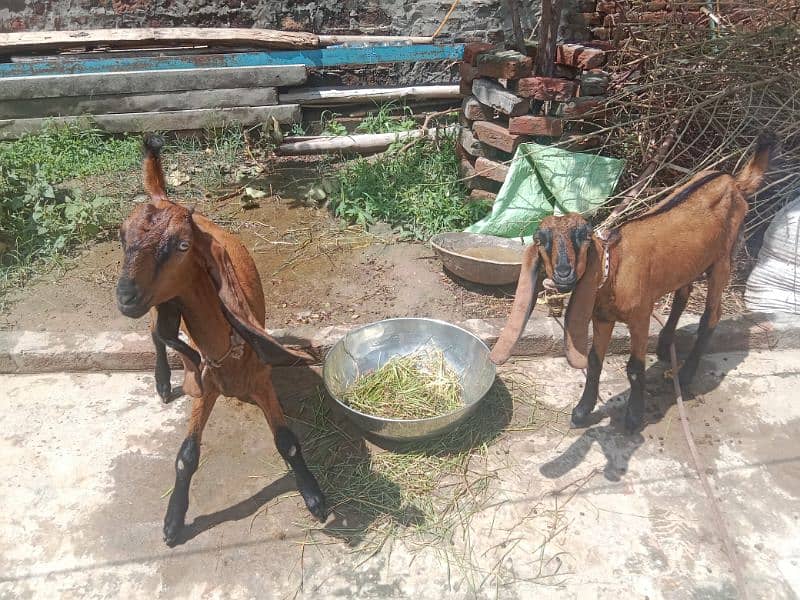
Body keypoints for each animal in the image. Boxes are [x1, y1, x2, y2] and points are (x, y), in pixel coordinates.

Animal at [115, 135, 324, 544]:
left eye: (182, 246)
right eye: (122, 237)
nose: (125, 296)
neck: (227, 348)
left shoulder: (261, 380)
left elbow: (288, 442)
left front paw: (314, 497)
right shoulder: (205, 383)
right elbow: (186, 456)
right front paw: (172, 522)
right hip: (159, 304)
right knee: (155, 333)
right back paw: (162, 382)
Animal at [490, 136, 772, 432]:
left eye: (584, 237)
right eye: (541, 240)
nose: (563, 274)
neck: (613, 270)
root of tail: (734, 182)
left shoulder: (640, 317)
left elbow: (635, 367)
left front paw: (634, 416)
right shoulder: (602, 318)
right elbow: (594, 360)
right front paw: (582, 410)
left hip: (723, 260)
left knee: (712, 314)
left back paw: (685, 375)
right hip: (690, 263)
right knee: (684, 292)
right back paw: (665, 345)